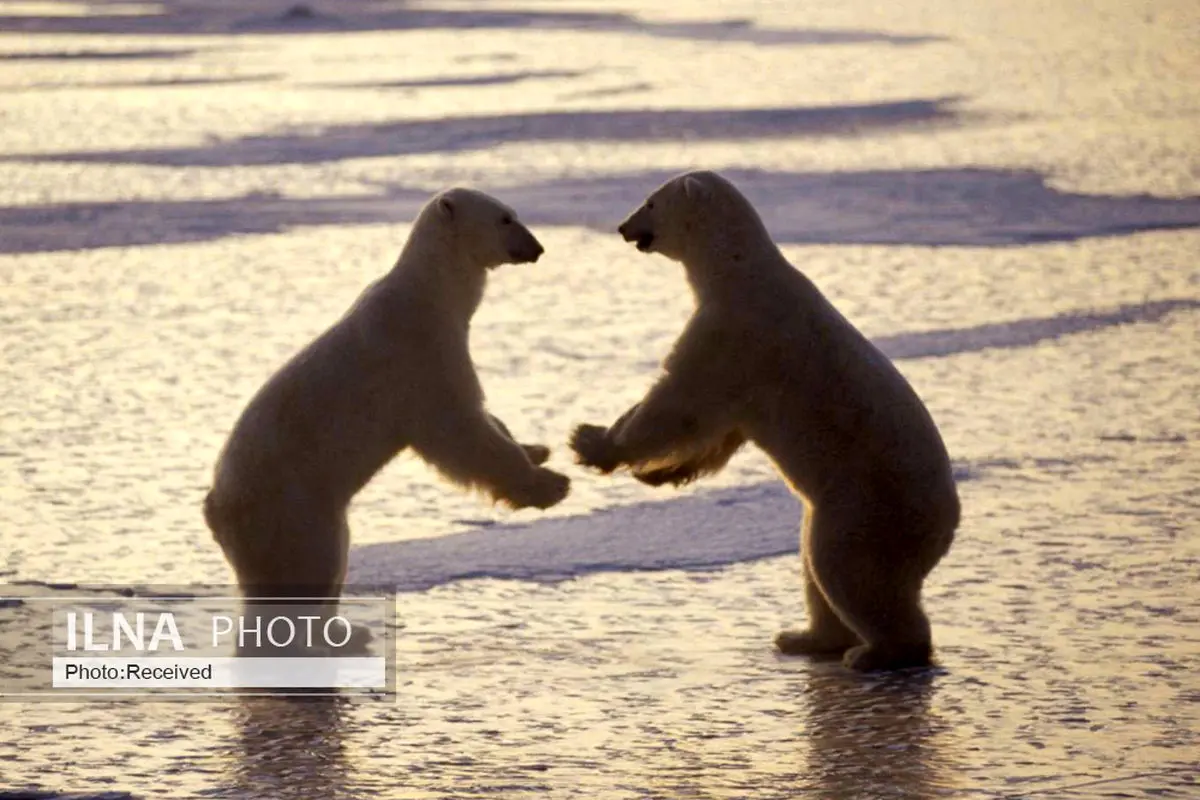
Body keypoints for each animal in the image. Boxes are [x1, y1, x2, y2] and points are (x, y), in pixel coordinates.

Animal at [206, 184, 571, 647]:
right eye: (505, 218)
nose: (536, 248)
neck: (428, 292)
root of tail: (215, 508)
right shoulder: (419, 353)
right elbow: (458, 428)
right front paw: (551, 484)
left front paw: (537, 448)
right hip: (290, 510)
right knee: (303, 575)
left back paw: (343, 631)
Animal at [566, 172, 960, 671]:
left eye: (651, 202)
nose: (622, 227)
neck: (739, 269)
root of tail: (946, 527)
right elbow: (720, 430)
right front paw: (659, 475)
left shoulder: (733, 331)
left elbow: (680, 402)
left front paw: (590, 441)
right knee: (816, 568)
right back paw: (804, 637)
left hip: (870, 508)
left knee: (848, 572)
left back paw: (874, 652)